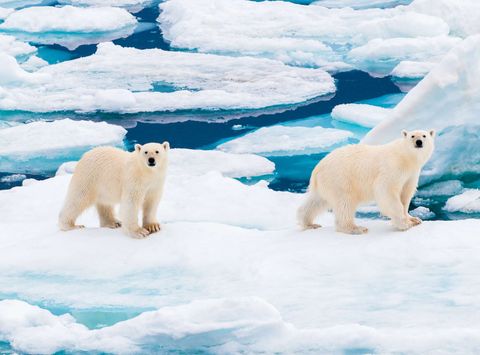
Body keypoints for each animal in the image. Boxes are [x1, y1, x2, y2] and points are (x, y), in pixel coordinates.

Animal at [296, 129, 436, 235]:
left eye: (424, 135)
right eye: (412, 136)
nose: (419, 142)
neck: (406, 158)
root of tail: (317, 169)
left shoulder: (411, 174)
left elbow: (406, 194)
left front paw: (414, 219)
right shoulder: (392, 167)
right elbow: (387, 190)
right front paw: (404, 224)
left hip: (326, 184)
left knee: (316, 201)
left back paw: (309, 223)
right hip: (341, 179)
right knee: (345, 202)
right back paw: (356, 228)